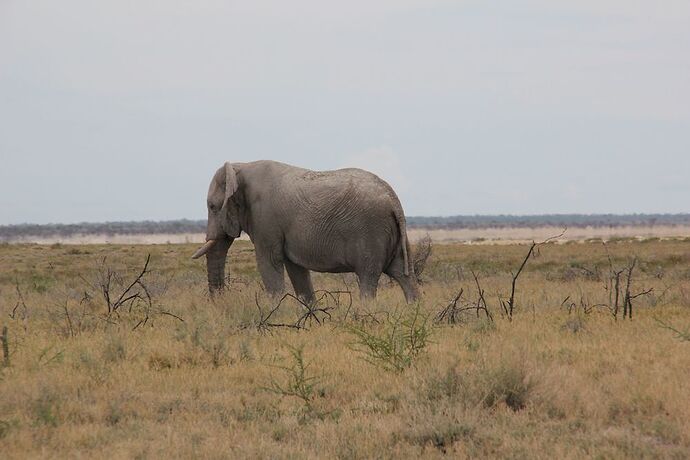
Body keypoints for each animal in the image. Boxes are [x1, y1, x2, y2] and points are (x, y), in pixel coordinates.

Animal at [191, 160, 416, 304]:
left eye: (212, 207)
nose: (220, 304)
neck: (240, 166)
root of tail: (393, 199)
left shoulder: (265, 219)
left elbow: (269, 263)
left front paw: (275, 313)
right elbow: (296, 269)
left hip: (371, 231)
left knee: (368, 278)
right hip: (390, 233)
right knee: (403, 274)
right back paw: (414, 312)